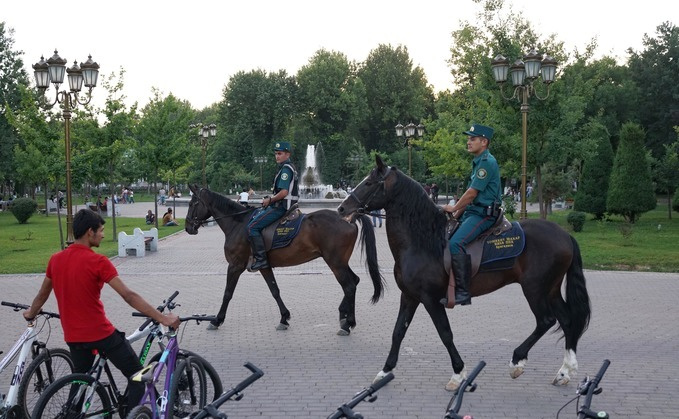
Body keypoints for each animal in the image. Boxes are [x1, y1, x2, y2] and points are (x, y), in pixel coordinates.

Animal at [186, 185, 386, 336]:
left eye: (193, 203)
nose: (188, 226)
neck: (239, 224)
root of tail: (349, 217)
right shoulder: (263, 266)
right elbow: (274, 290)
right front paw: (284, 317)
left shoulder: (235, 265)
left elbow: (227, 293)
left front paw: (217, 319)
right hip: (340, 262)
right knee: (354, 281)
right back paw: (343, 314)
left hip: (335, 262)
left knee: (349, 286)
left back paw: (347, 323)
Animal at [338, 157, 592, 390]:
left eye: (369, 182)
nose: (342, 208)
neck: (422, 241)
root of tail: (565, 235)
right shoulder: (409, 296)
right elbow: (398, 331)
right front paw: (385, 370)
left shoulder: (430, 299)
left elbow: (445, 333)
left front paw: (458, 373)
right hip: (550, 289)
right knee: (567, 320)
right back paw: (565, 371)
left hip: (534, 289)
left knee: (546, 321)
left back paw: (517, 360)